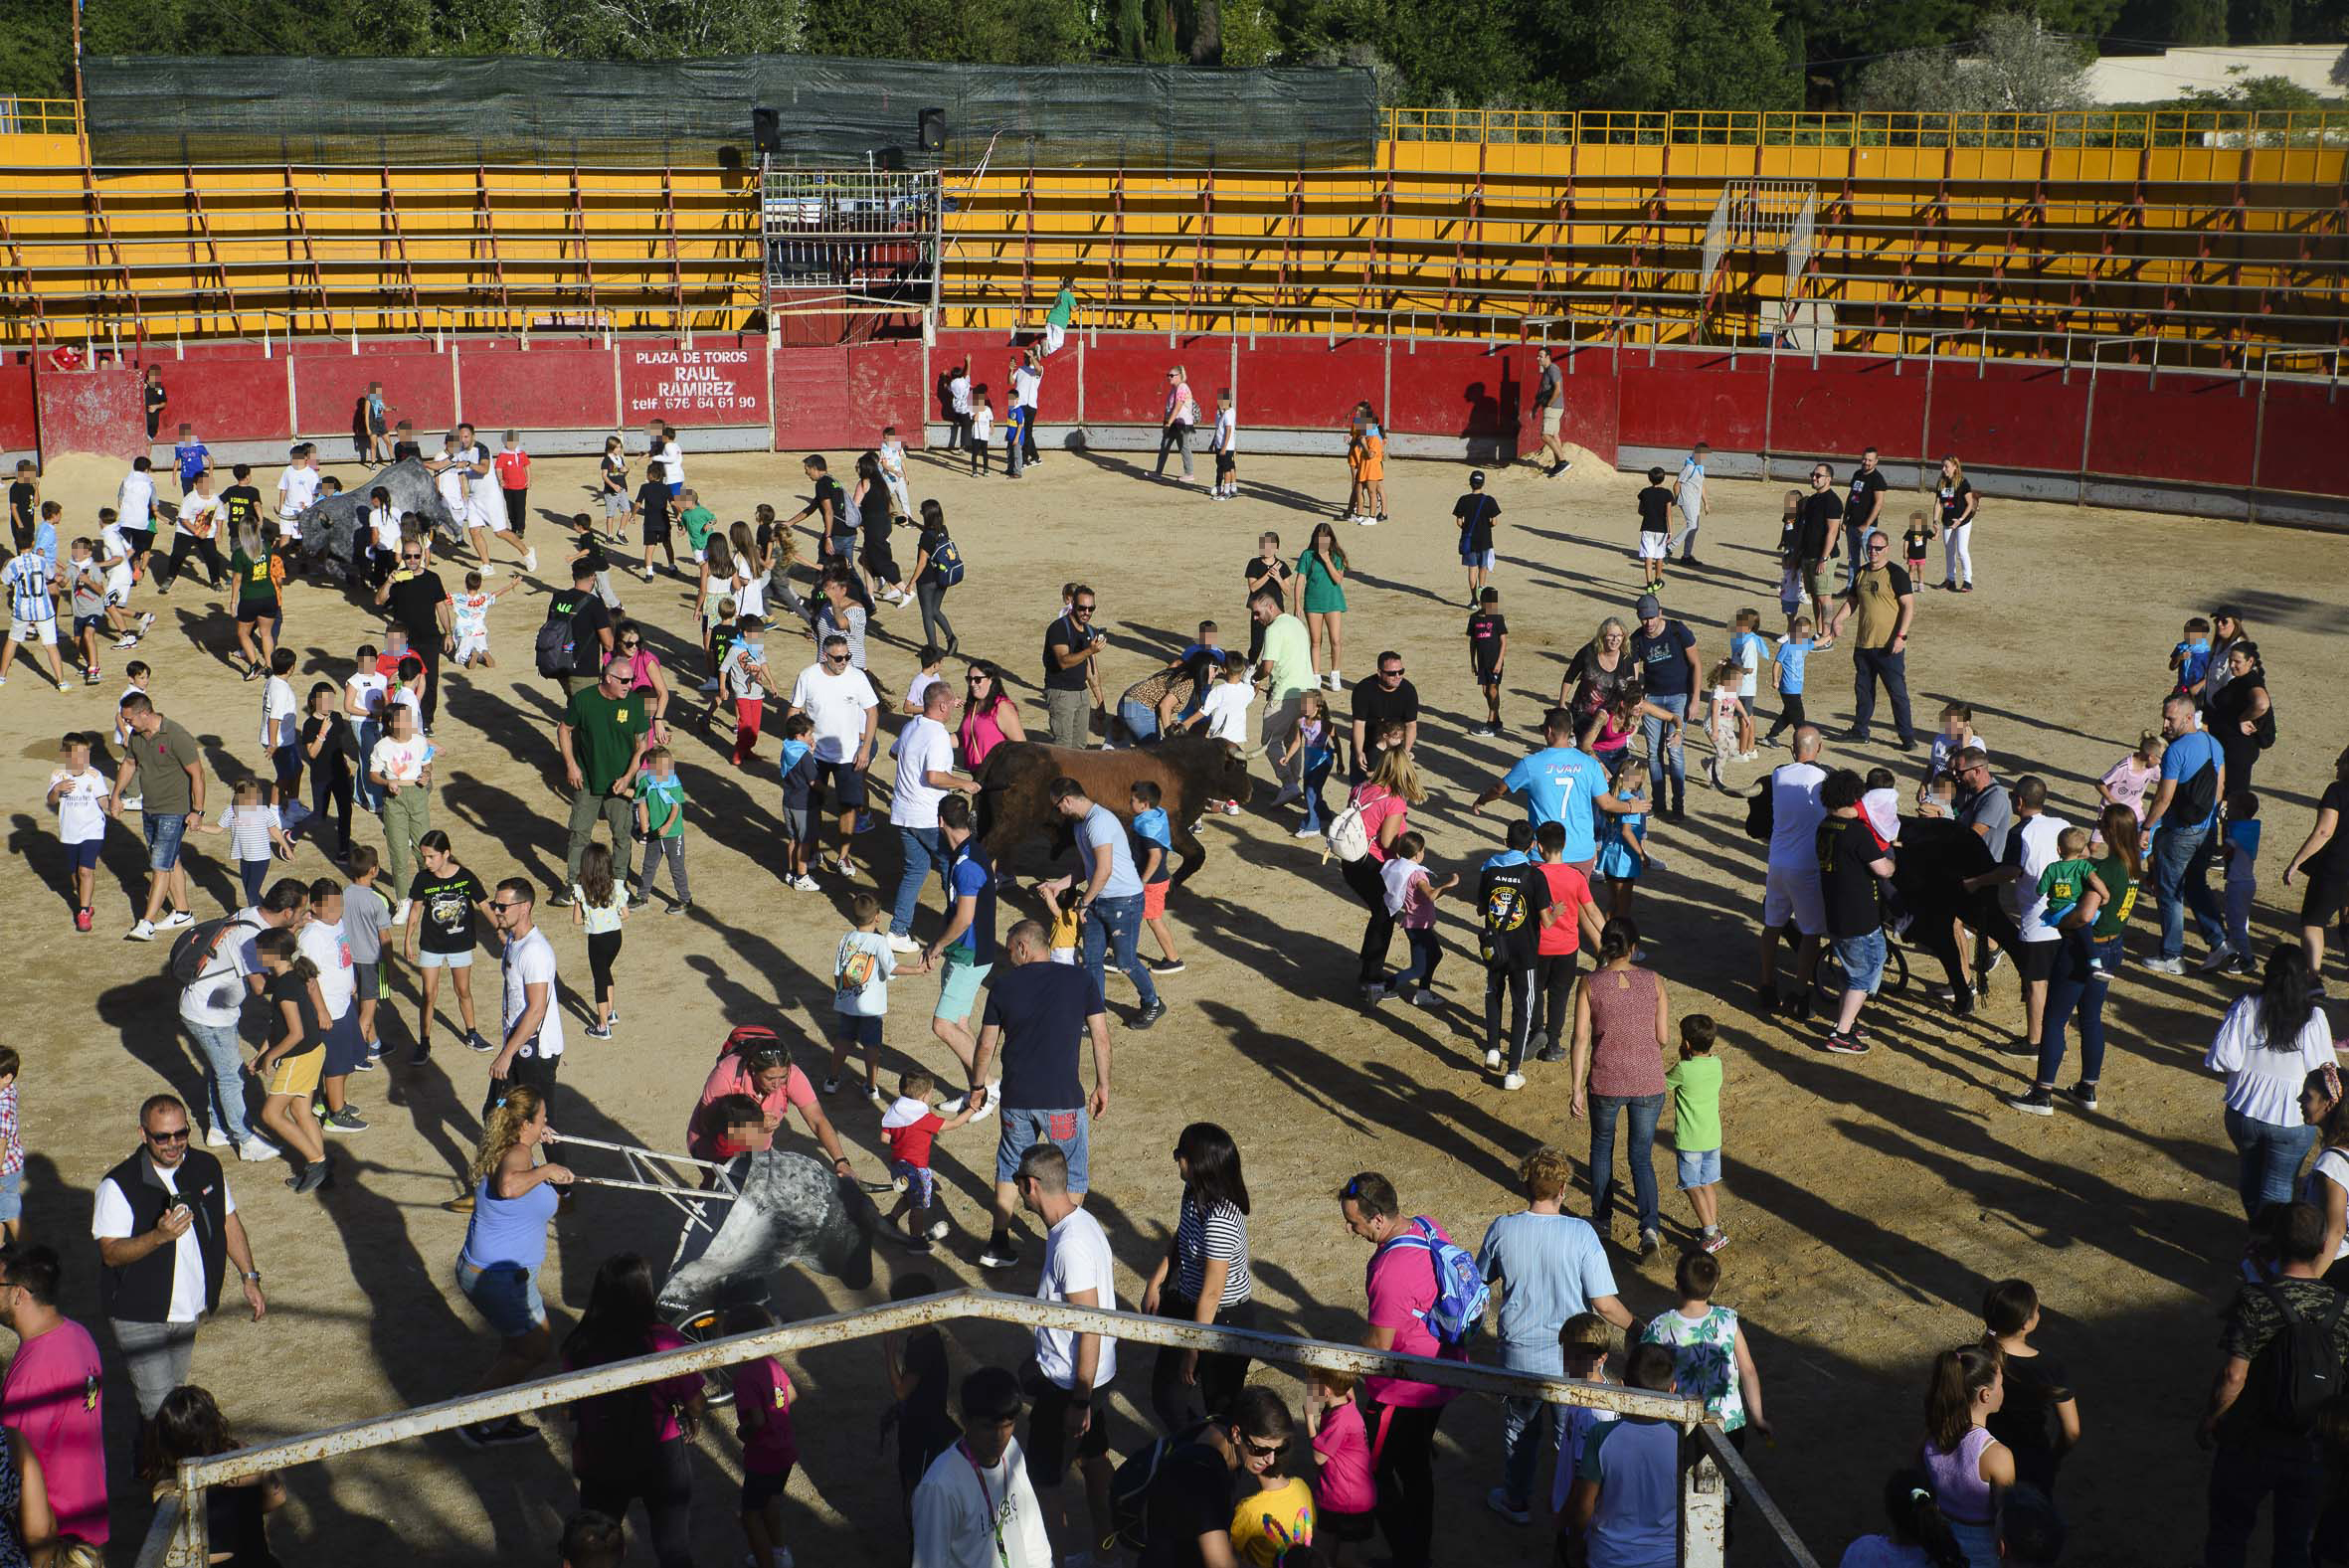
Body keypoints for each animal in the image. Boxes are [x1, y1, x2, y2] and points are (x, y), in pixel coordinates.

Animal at [972, 737, 1259, 882]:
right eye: (1241, 766)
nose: (1249, 793)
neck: (1183, 766)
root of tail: (1007, 747)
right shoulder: (1174, 830)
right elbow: (1197, 855)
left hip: (988, 821)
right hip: (1007, 826)